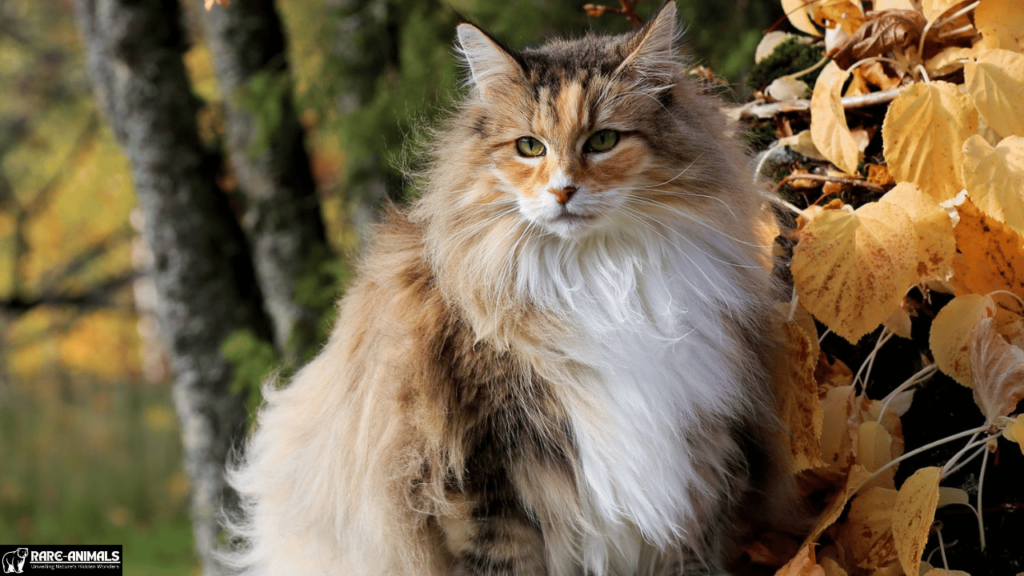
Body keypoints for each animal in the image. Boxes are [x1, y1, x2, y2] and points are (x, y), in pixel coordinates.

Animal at [226, 2, 798, 569]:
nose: (563, 190)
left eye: (603, 141)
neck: (597, 276)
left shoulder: (697, 472)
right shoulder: (479, 477)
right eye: (529, 147)